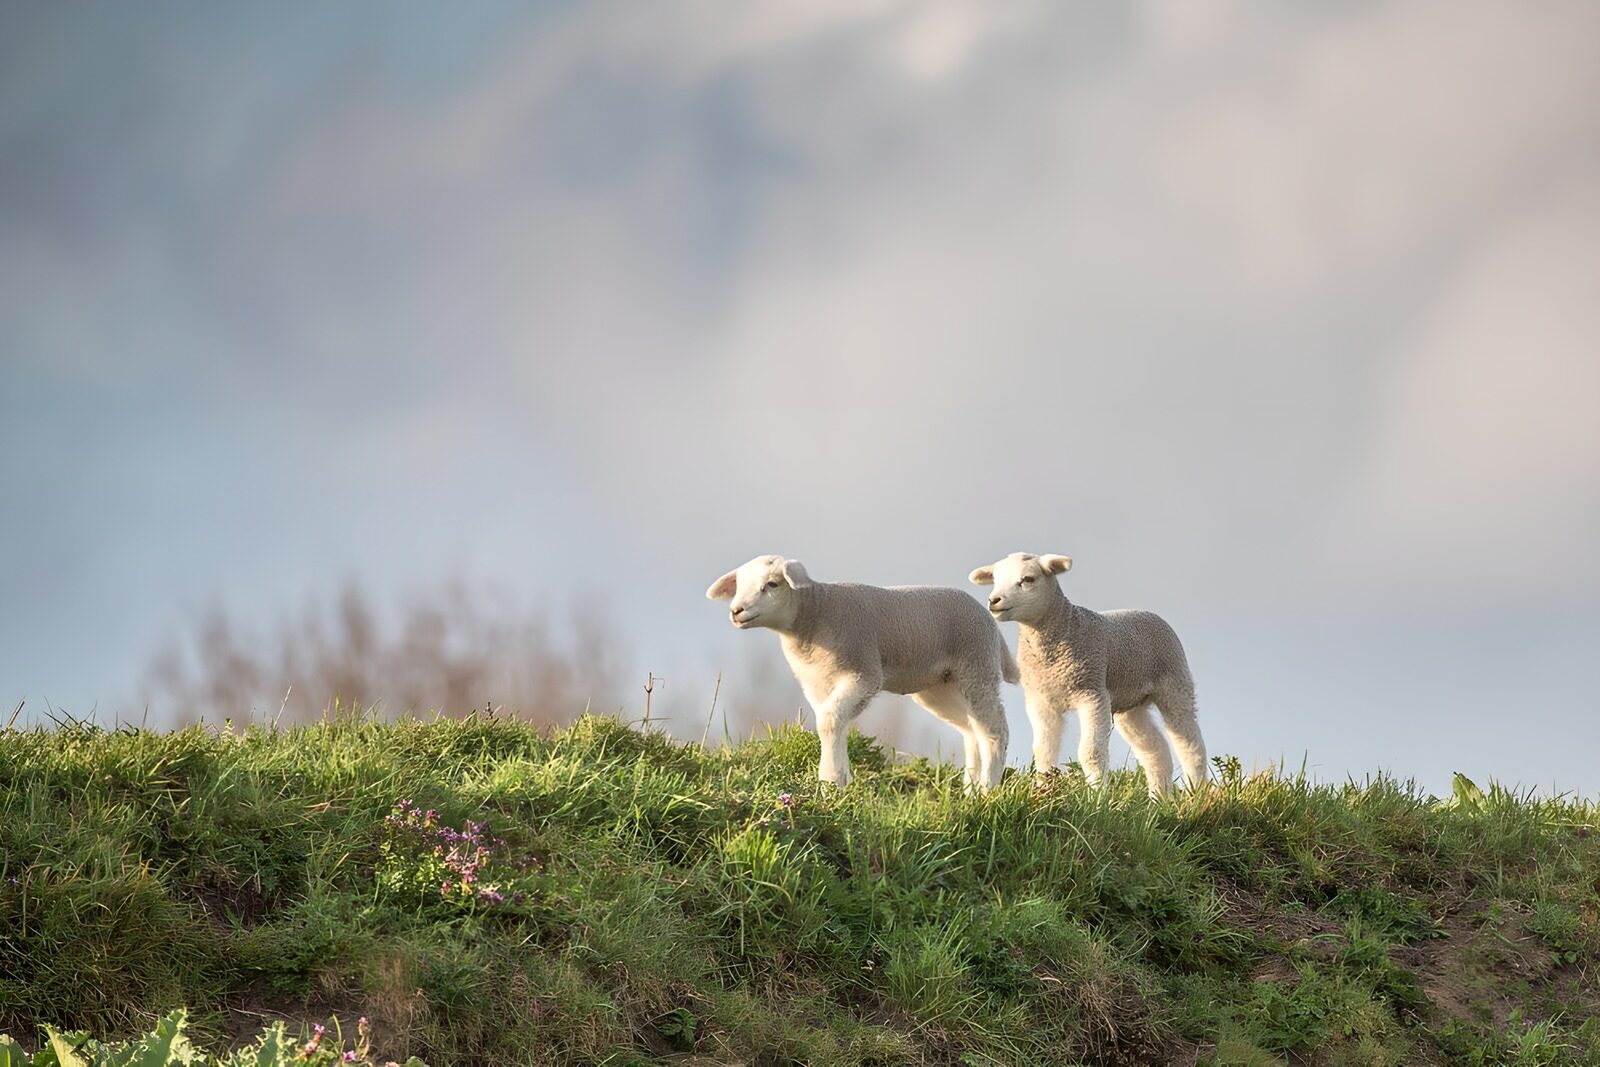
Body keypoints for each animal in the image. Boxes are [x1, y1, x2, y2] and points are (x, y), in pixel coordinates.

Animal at [707, 555, 1016, 789]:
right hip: (940, 686)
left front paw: (830, 781)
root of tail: (989, 619)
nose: (736, 610)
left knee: (994, 730)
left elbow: (829, 721)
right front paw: (842, 778)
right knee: (972, 729)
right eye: (739, 585)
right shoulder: (818, 685)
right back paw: (970, 790)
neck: (815, 613)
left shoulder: (864, 673)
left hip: (977, 667)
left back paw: (988, 789)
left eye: (771, 584)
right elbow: (836, 724)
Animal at [968, 552, 1206, 798]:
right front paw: (1043, 792)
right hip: (1130, 707)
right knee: (1155, 750)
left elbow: (1090, 752)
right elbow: (1044, 751)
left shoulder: (1092, 692)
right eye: (995, 579)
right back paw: (1158, 800)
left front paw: (1097, 797)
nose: (994, 601)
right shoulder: (1040, 700)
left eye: (1028, 579)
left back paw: (1195, 794)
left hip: (1175, 683)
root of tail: (1149, 612)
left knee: (1190, 745)